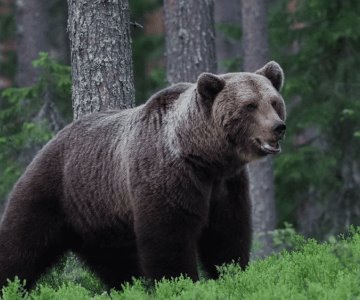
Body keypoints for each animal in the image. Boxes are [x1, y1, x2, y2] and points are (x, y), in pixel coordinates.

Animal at [0, 60, 286, 288]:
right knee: (21, 244)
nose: (278, 127)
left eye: (273, 102)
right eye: (250, 105)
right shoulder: (168, 176)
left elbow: (227, 237)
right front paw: (181, 283)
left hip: (100, 218)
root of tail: (50, 141)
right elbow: (168, 239)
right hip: (53, 191)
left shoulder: (226, 185)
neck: (204, 157)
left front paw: (232, 273)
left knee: (116, 264)